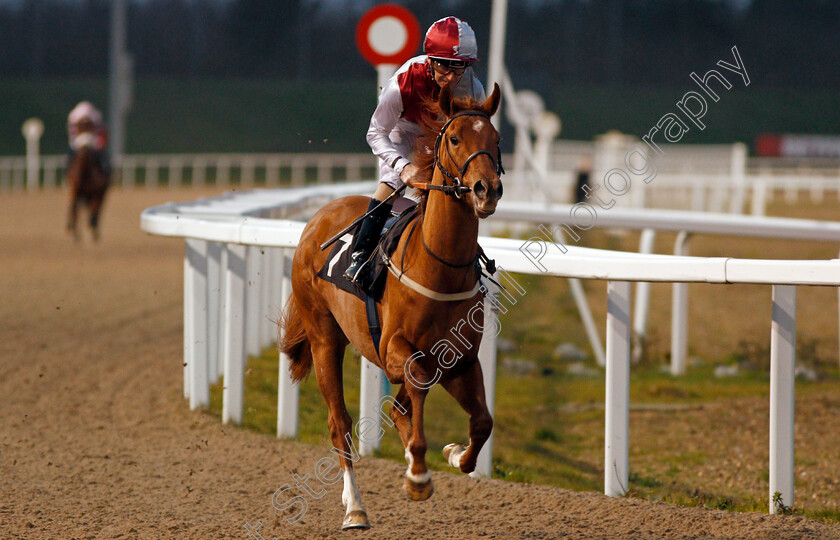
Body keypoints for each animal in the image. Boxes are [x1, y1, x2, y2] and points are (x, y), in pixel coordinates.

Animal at [282, 82, 502, 528]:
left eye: (496, 140)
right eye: (455, 139)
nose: (486, 190)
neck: (439, 267)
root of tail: (317, 219)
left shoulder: (461, 359)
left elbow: (482, 422)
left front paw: (455, 455)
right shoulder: (395, 348)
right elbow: (416, 384)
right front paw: (417, 474)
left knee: (402, 408)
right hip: (323, 337)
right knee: (340, 423)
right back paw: (355, 508)